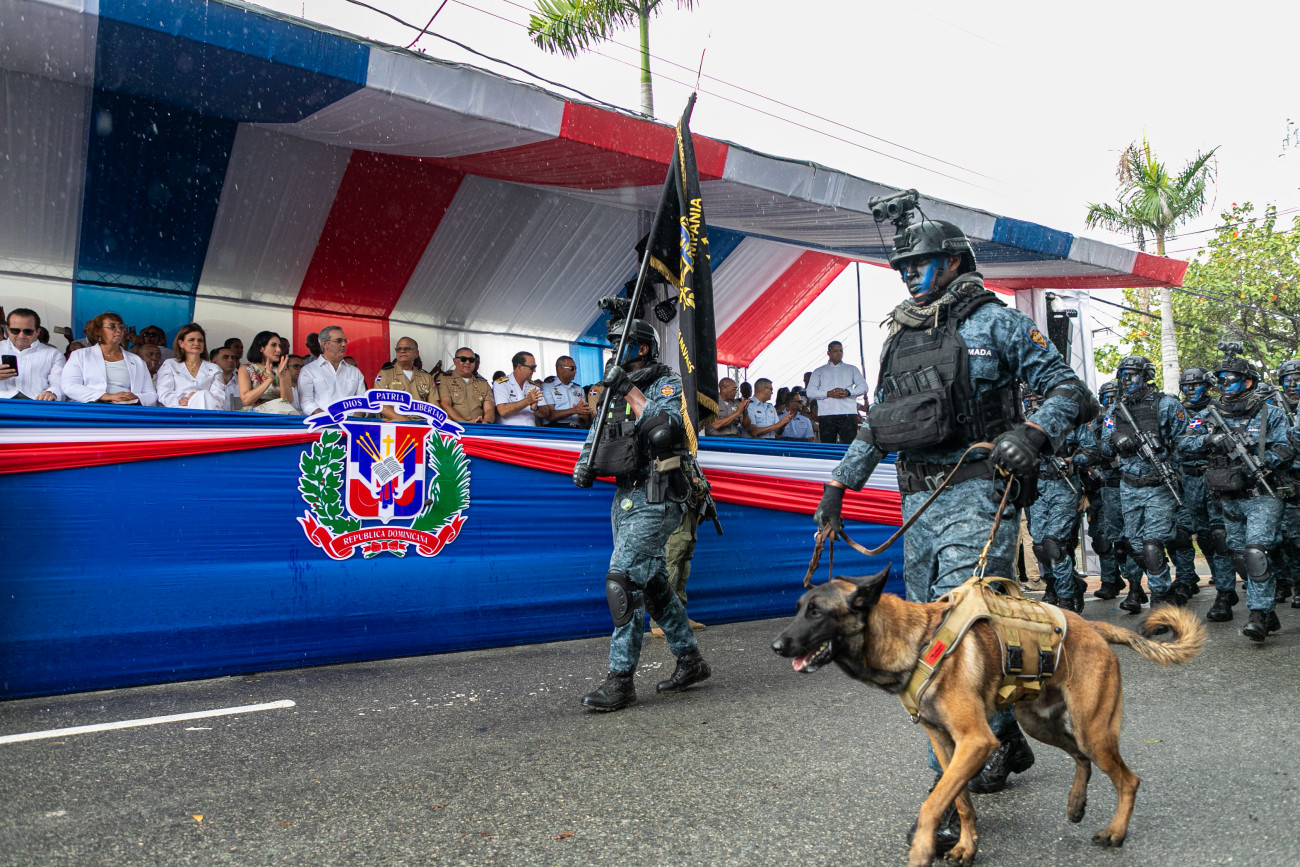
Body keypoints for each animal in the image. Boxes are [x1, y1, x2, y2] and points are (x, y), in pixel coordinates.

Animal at [771, 567, 1205, 867]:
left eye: (817, 612)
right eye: (798, 609)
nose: (776, 645)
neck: (915, 641)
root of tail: (1094, 626)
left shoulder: (975, 741)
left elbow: (933, 805)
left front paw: (922, 849)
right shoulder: (946, 743)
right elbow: (959, 800)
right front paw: (966, 845)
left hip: (1092, 729)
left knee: (1127, 779)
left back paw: (1115, 832)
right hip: (1038, 722)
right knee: (1081, 758)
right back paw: (1076, 803)